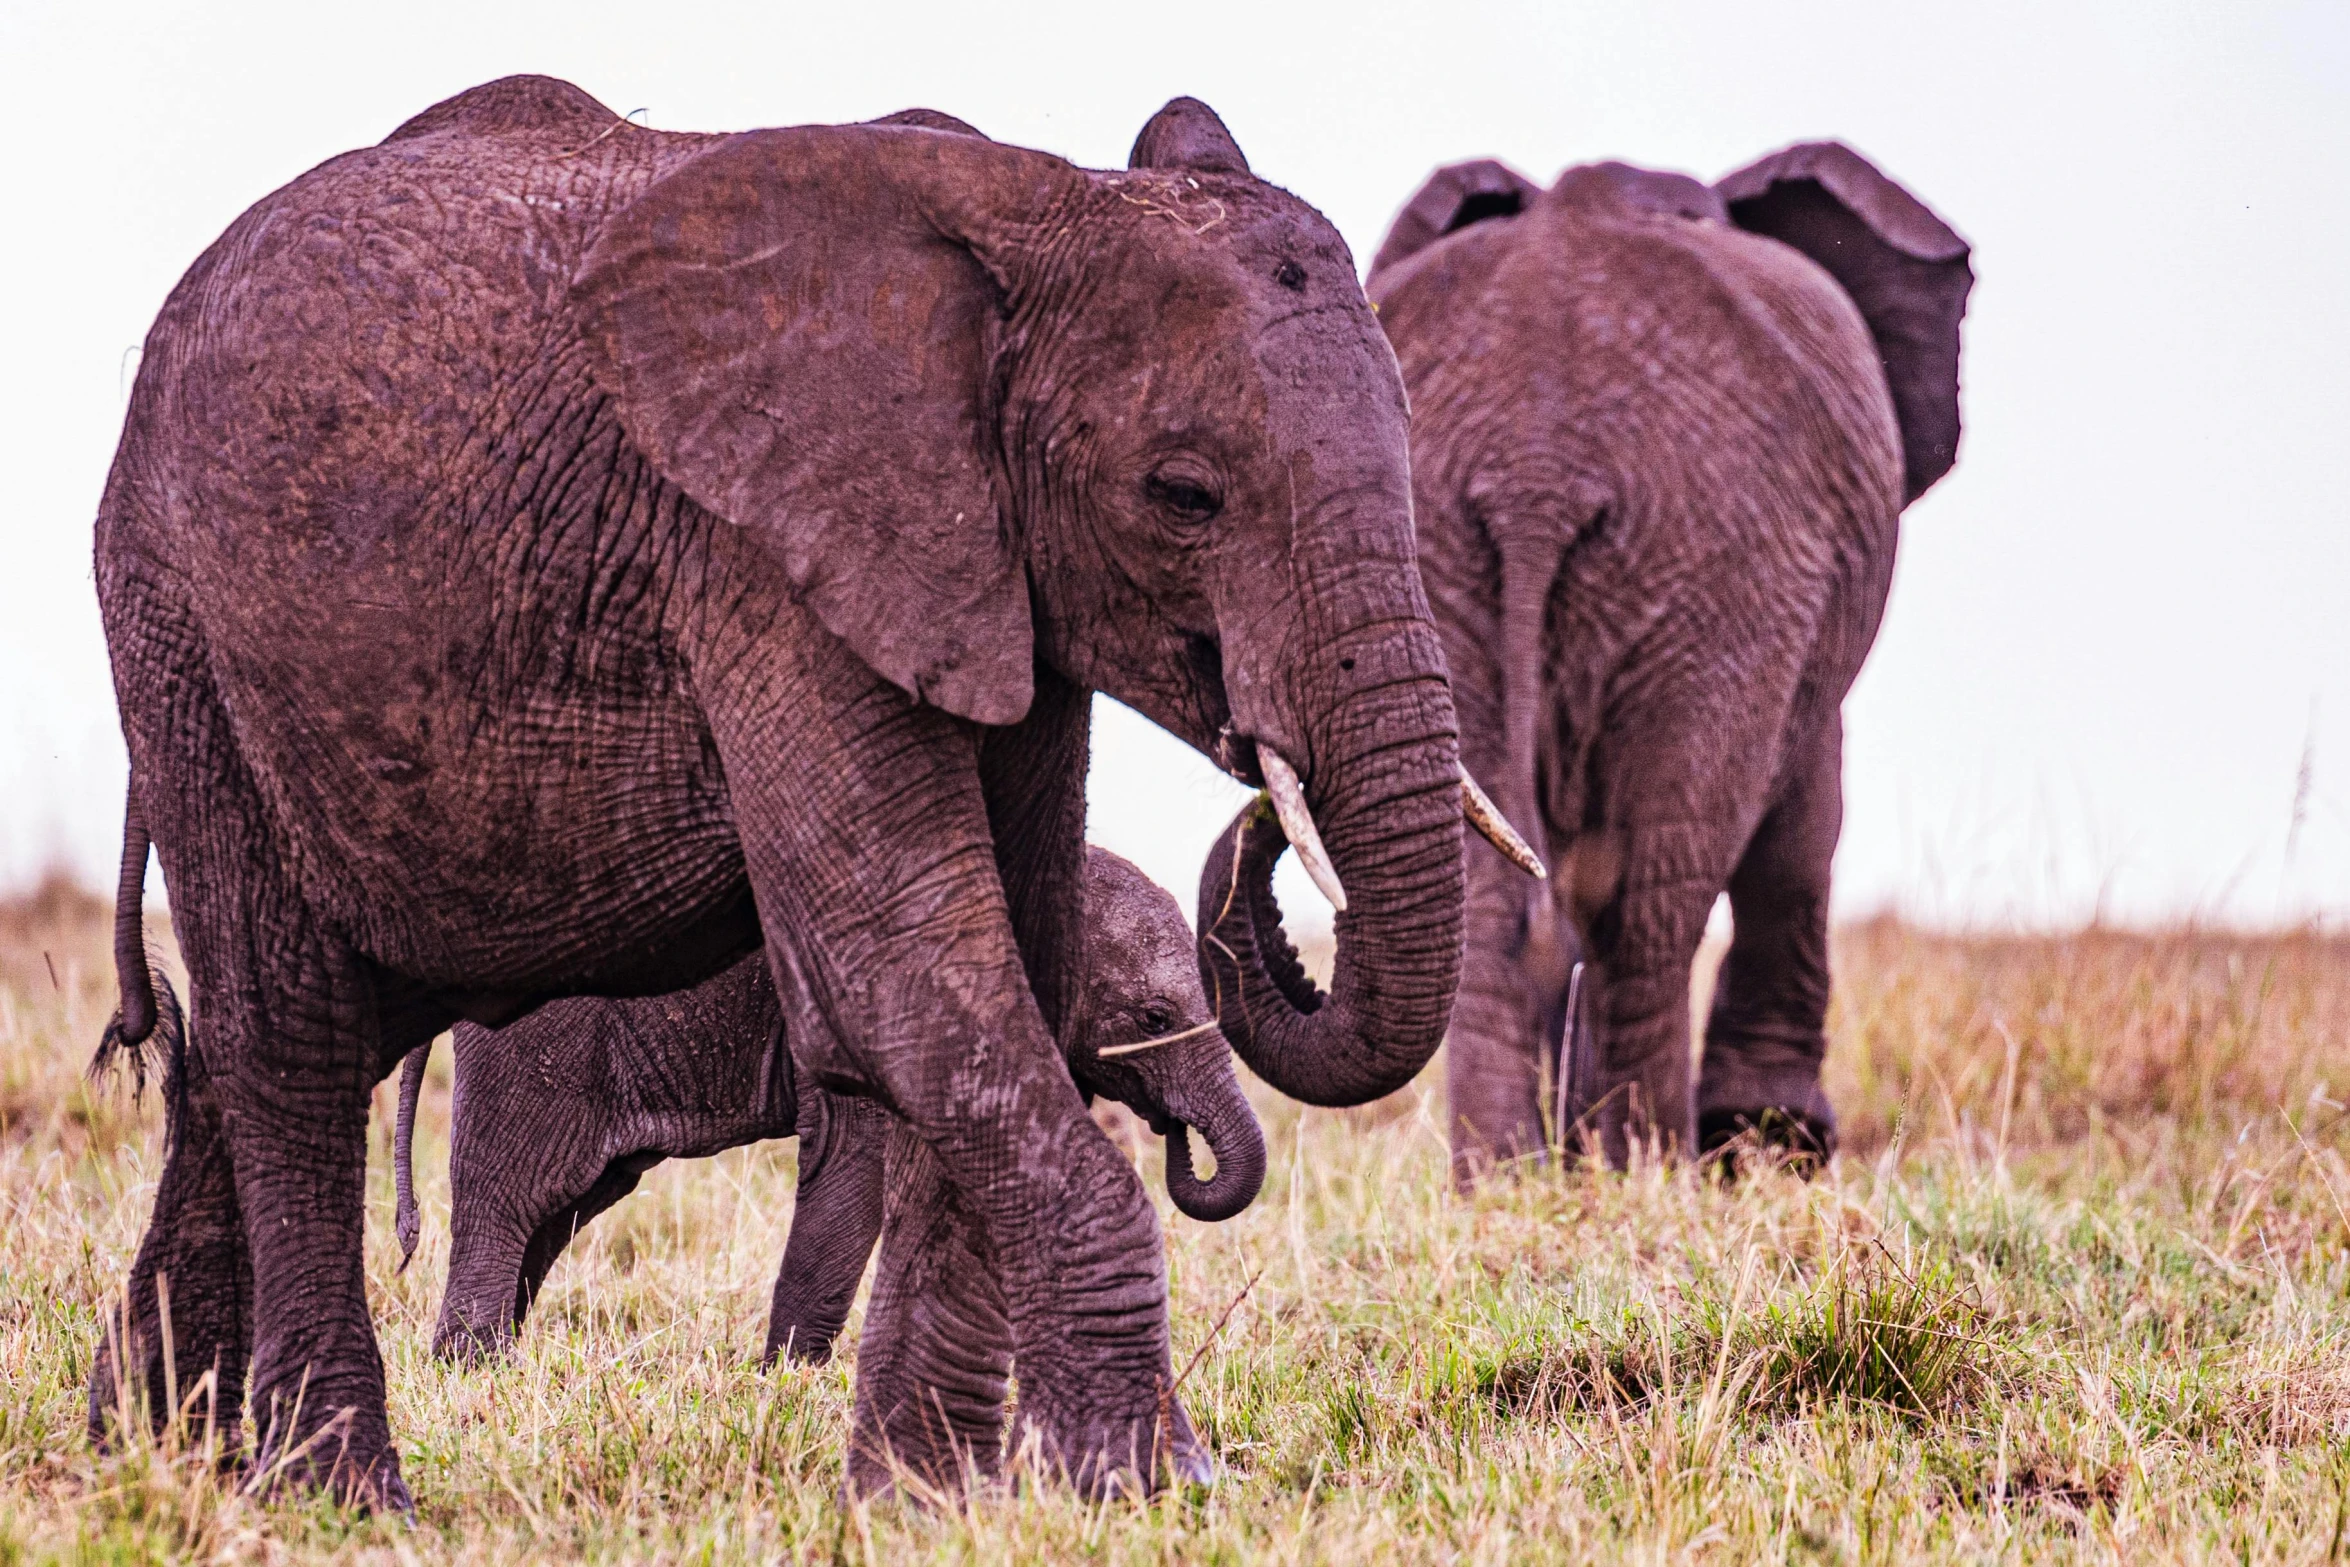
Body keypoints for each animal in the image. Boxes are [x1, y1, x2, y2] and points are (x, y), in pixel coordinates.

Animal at [397, 845, 1269, 1362]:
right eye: (1151, 1017)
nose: (1170, 1129)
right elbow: (857, 1173)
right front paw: (788, 1381)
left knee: (561, 1210)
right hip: (536, 1047)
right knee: (510, 1200)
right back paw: (472, 1369)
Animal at [1363, 143, 1964, 1174]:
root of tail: (1536, 465)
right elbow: (1805, 821)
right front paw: (1775, 1143)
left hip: (1435, 554)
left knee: (1502, 892)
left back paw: (1507, 1178)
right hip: (1724, 562)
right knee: (1653, 899)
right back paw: (1652, 1167)